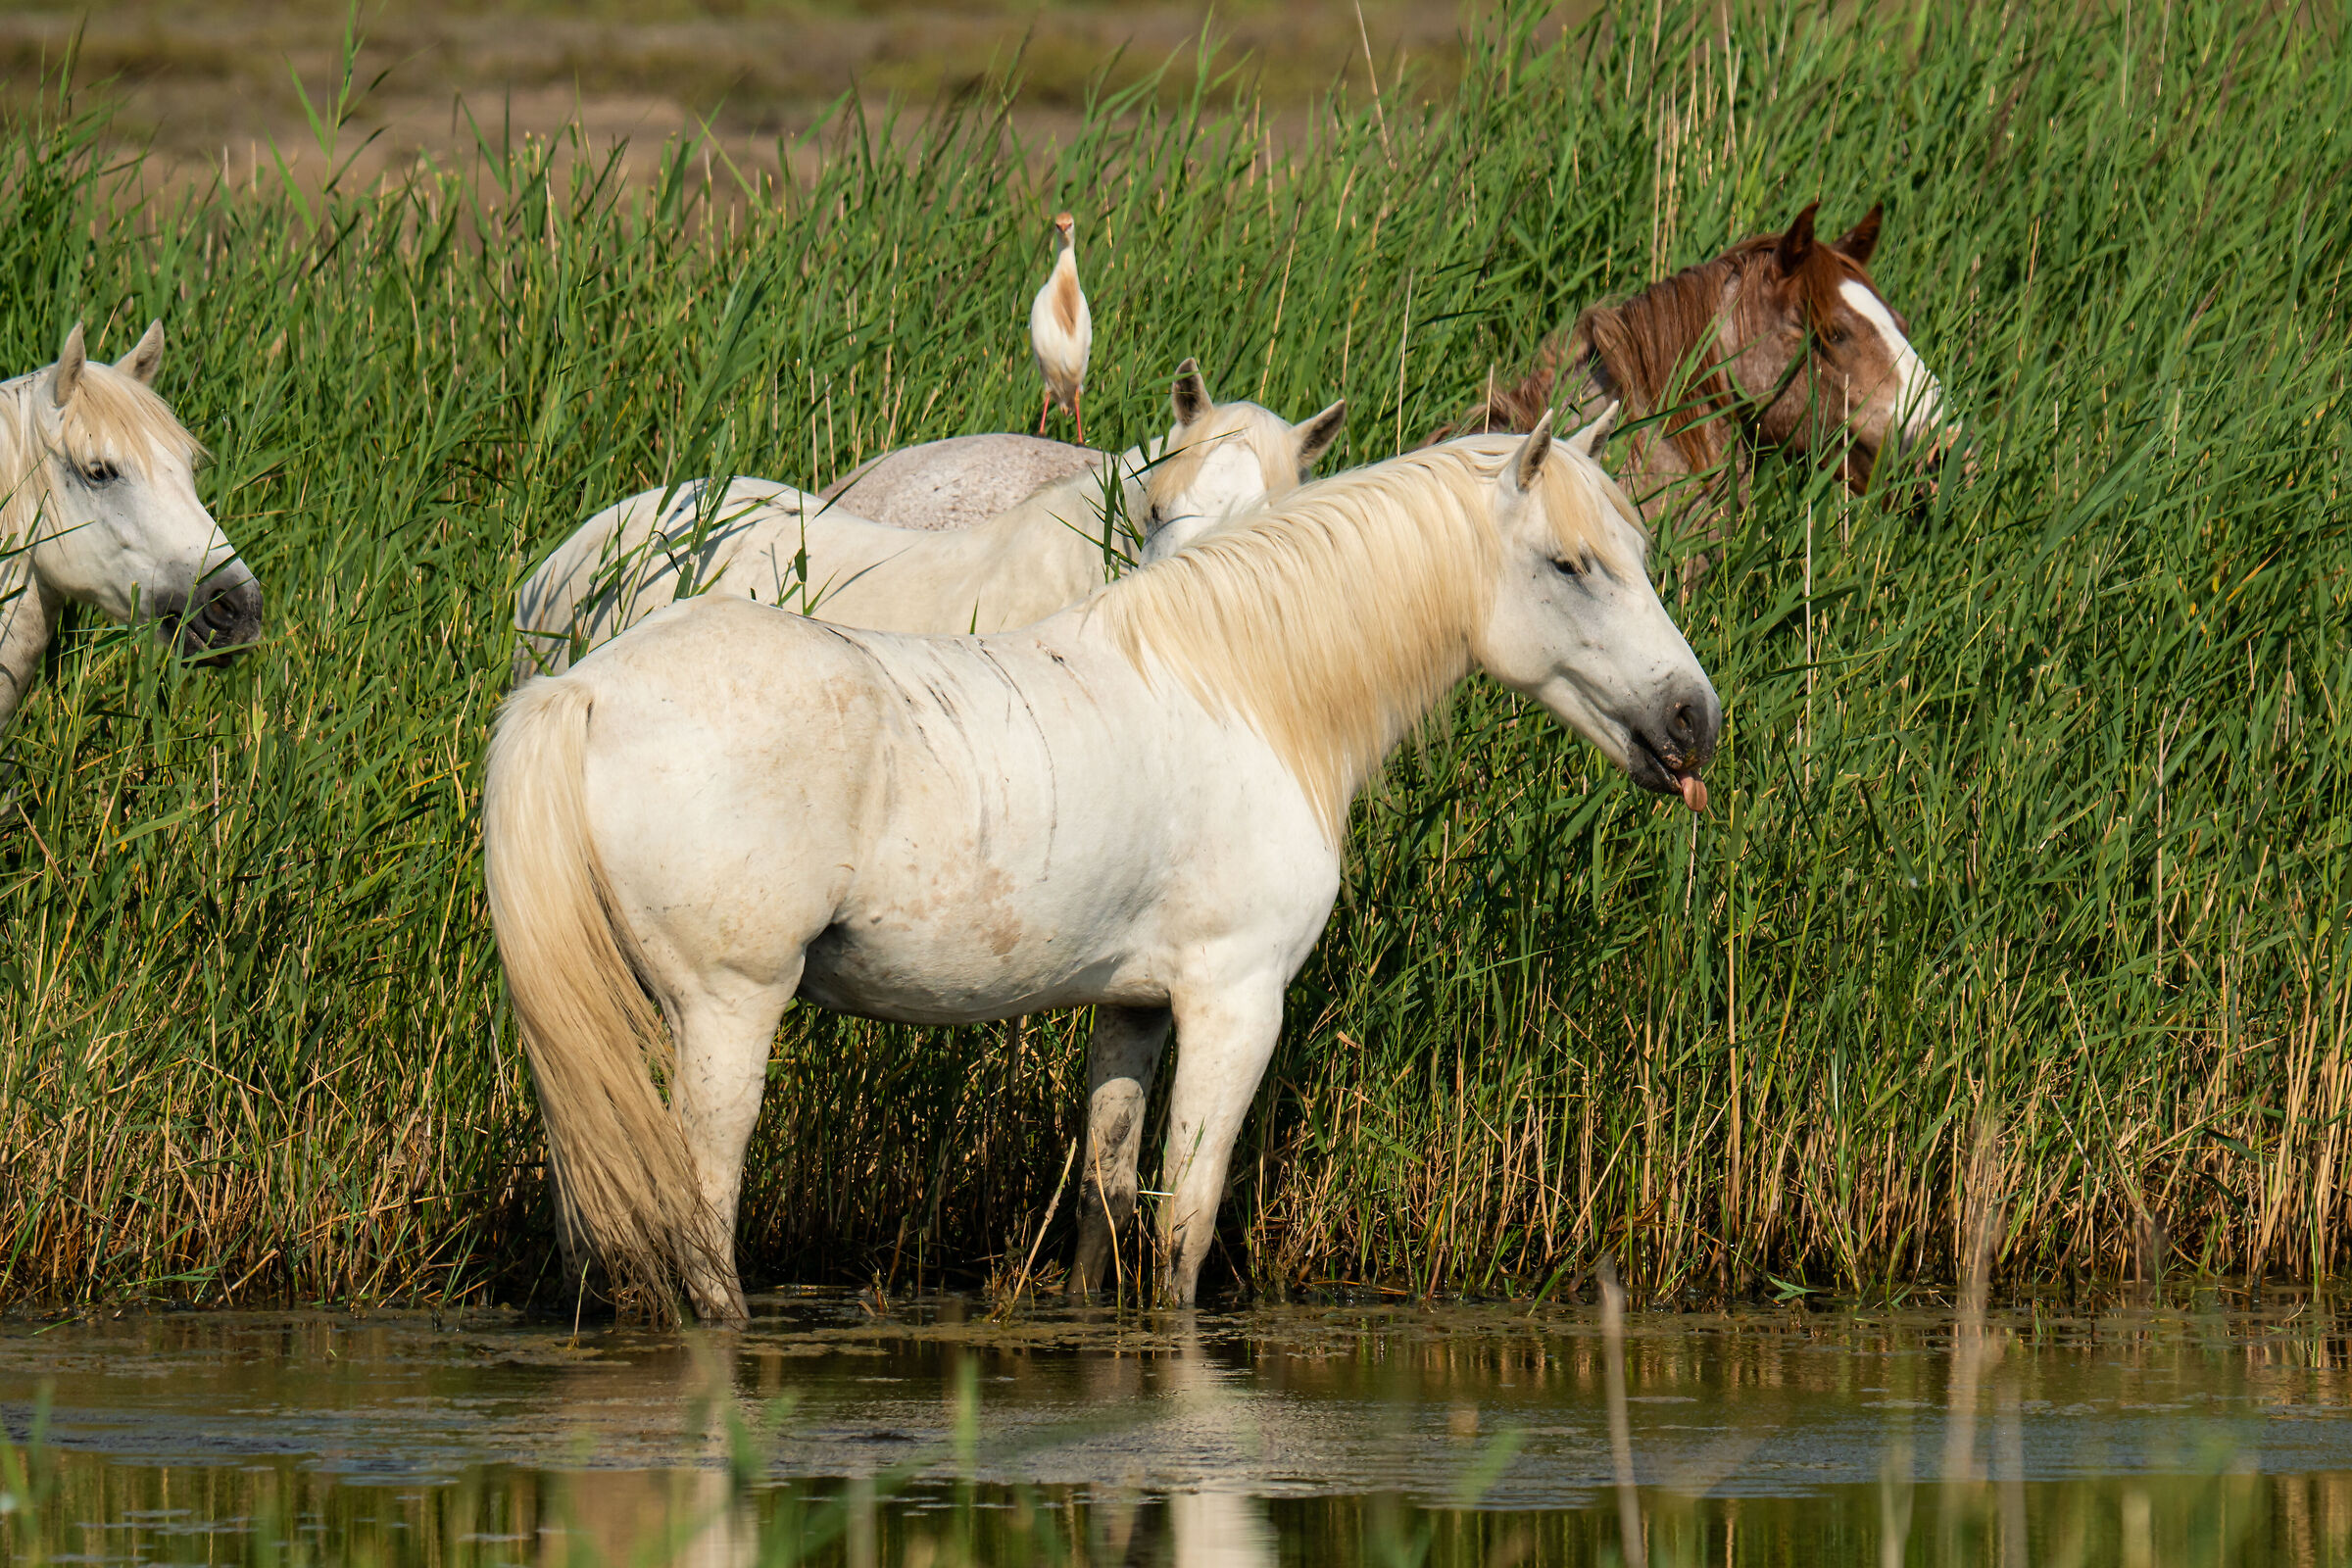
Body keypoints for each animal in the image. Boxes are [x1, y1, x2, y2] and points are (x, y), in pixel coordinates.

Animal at [482, 406, 1720, 1323]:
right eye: (1572, 564)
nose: (1693, 721)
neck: (1250, 690)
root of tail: (584, 687)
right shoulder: (1235, 1000)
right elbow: (1184, 1225)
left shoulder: (1134, 1007)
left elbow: (1106, 1193)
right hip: (728, 1010)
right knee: (700, 1221)